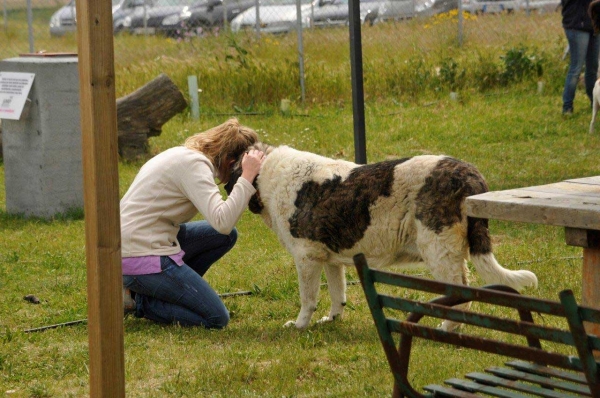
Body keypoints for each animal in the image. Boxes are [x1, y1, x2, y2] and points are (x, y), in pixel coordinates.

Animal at [227, 143, 536, 330]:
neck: (269, 174)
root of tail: (469, 173)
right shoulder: (329, 258)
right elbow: (337, 292)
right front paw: (333, 319)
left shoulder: (306, 259)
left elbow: (308, 298)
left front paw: (300, 325)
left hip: (439, 250)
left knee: (461, 293)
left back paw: (447, 328)